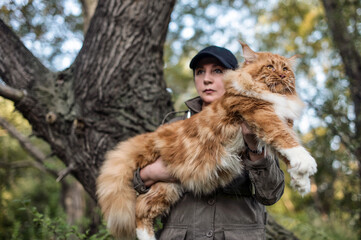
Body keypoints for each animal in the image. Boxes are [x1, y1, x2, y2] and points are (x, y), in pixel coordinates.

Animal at [95, 42, 316, 239]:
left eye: (285, 69)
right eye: (270, 67)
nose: (282, 75)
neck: (276, 96)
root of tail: (155, 134)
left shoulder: (276, 129)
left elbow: (285, 153)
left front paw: (301, 183)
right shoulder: (261, 113)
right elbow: (285, 139)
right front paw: (307, 163)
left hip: (168, 187)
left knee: (142, 208)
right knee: (140, 210)